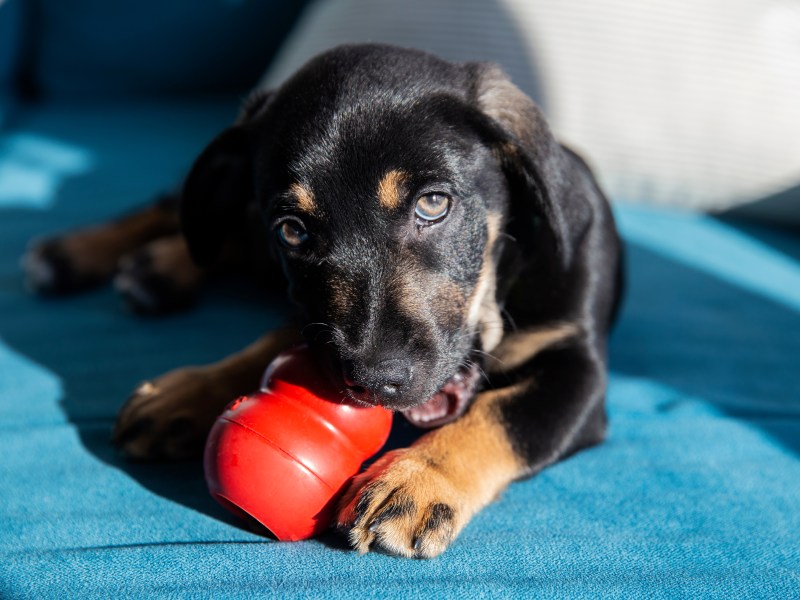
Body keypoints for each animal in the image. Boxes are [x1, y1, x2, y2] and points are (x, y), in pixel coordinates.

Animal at [21, 45, 620, 556]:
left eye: (433, 204)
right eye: (292, 230)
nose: (374, 380)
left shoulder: (578, 371)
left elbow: (498, 418)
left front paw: (417, 481)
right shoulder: (311, 314)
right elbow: (269, 343)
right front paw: (184, 393)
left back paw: (153, 269)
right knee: (179, 211)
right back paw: (81, 254)